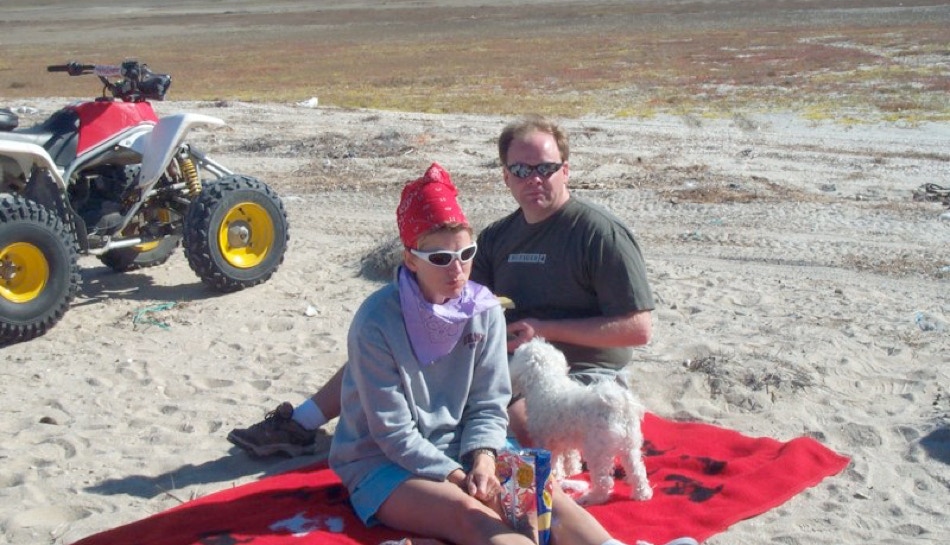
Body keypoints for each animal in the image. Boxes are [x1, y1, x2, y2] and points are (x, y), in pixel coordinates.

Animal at [508, 338, 653, 505]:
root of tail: (619, 404)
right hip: (630, 444)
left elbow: (554, 462)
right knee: (637, 470)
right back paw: (642, 494)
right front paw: (573, 471)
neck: (547, 380)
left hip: (598, 449)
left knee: (604, 482)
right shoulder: (566, 439)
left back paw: (591, 498)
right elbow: (571, 456)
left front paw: (556, 476)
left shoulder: (547, 441)